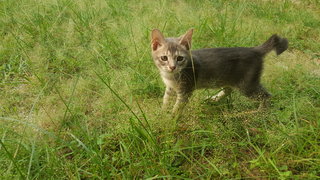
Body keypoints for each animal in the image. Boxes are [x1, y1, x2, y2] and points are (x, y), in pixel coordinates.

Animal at [151, 28, 288, 112]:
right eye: (164, 58)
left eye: (180, 58)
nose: (172, 67)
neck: (171, 77)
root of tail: (254, 50)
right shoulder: (169, 88)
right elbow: (165, 100)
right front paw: (163, 113)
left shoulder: (185, 91)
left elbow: (177, 108)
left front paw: (170, 121)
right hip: (229, 78)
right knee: (228, 89)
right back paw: (213, 98)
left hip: (247, 85)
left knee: (266, 96)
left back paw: (259, 112)